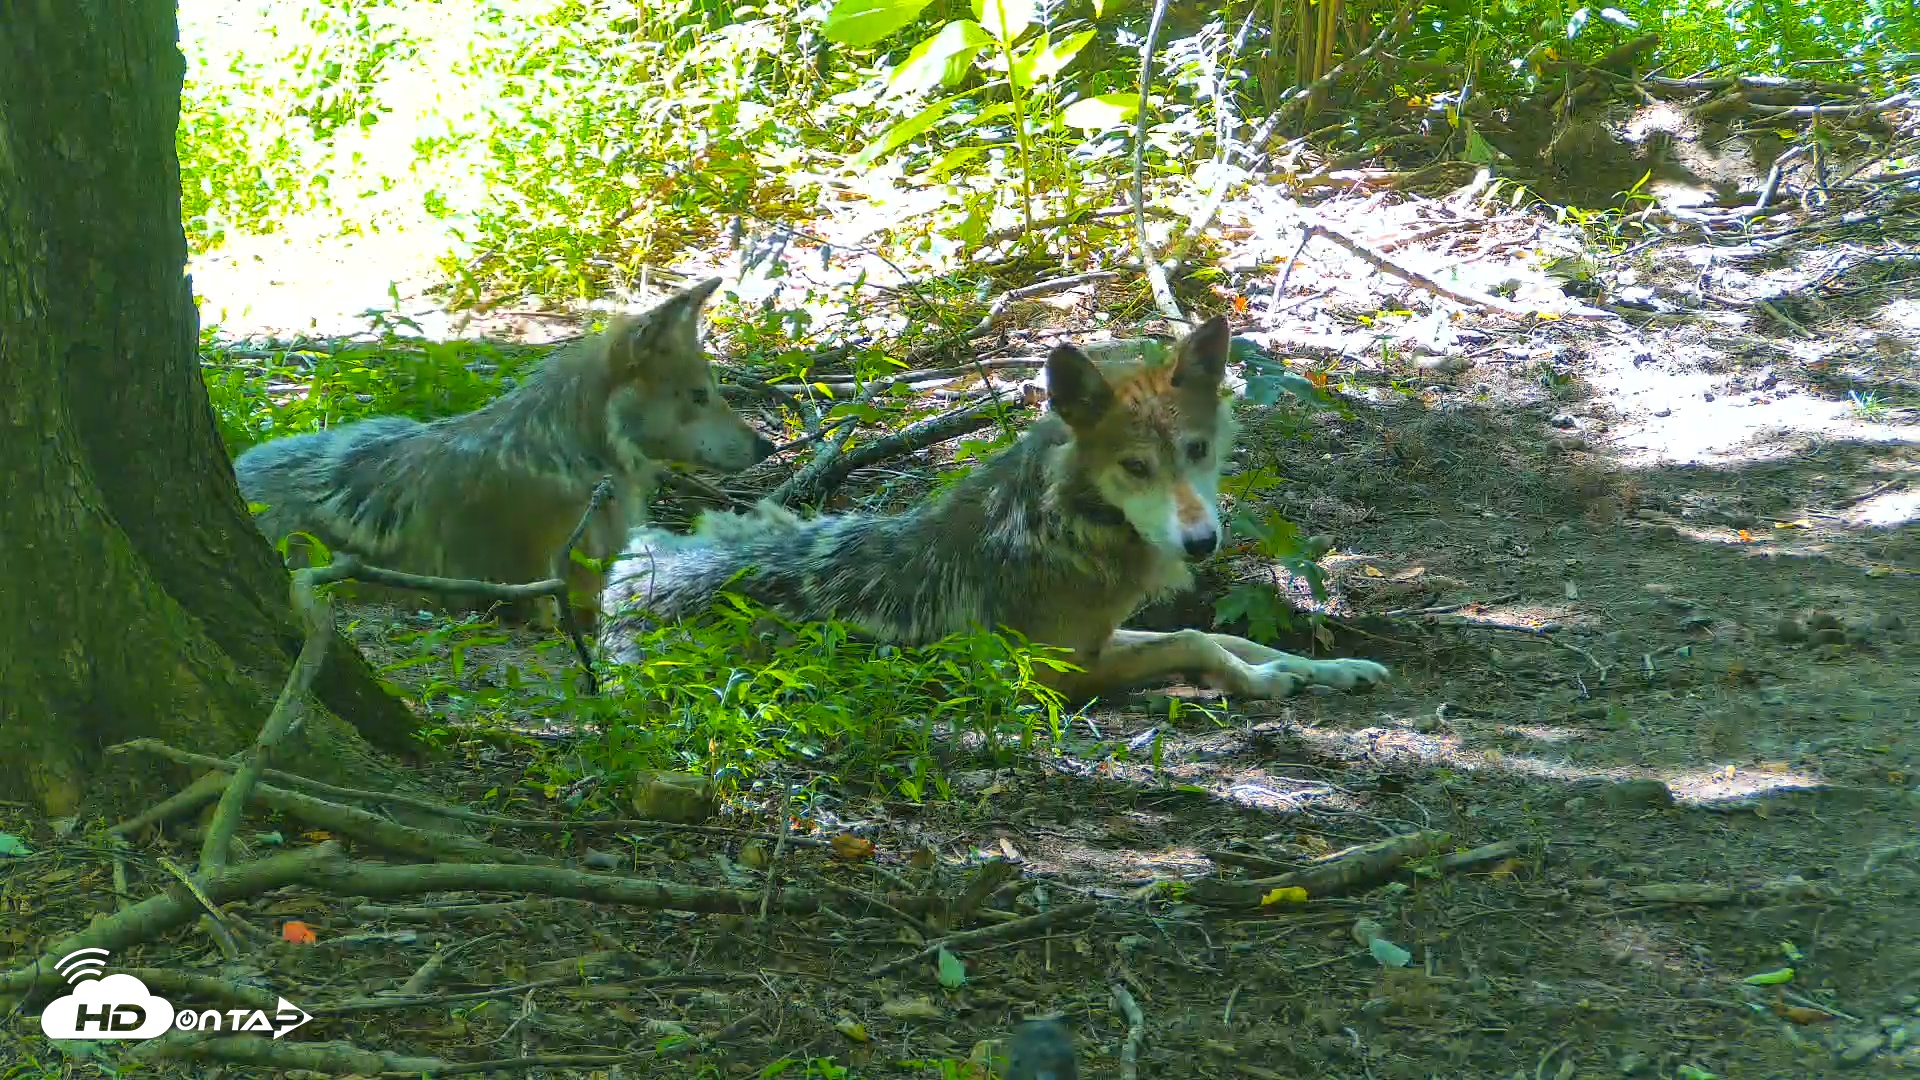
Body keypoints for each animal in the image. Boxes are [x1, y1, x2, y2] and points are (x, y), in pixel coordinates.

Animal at [598, 314, 1390, 703]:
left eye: (1196, 451)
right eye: (1135, 467)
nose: (1201, 543)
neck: (1062, 528)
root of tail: (615, 589)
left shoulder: (1101, 638)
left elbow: (1228, 635)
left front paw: (1331, 669)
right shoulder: (1054, 673)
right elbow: (1196, 641)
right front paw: (1264, 685)